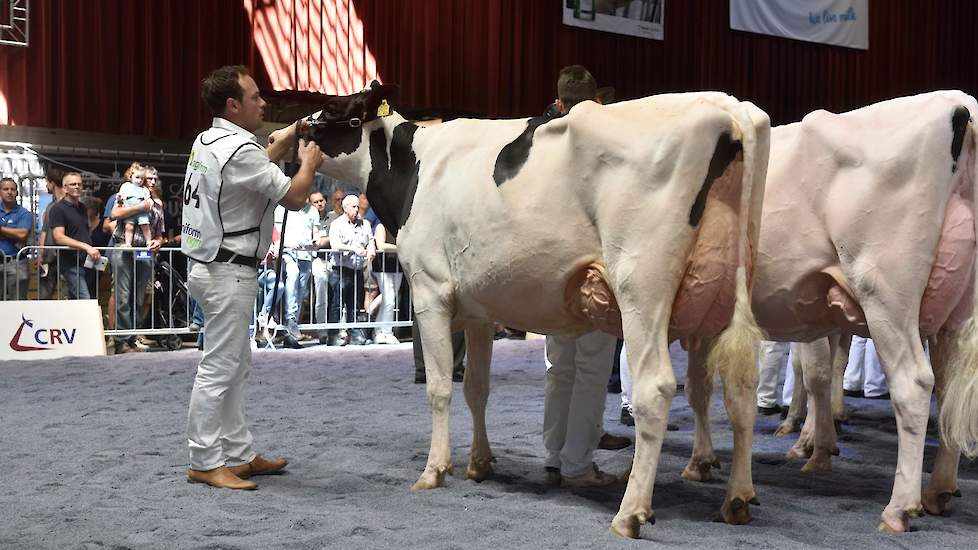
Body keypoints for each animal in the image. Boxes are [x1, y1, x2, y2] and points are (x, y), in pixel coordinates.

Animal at [268, 84, 772, 536]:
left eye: (331, 110)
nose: (278, 139)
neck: (413, 168)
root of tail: (726, 106)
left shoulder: (430, 292)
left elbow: (439, 388)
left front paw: (434, 470)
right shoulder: (478, 307)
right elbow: (476, 387)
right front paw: (479, 463)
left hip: (641, 285)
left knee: (657, 388)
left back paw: (630, 513)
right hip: (726, 288)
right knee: (740, 388)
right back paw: (737, 499)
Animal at [680, 90, 976, 536]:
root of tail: (957, 104)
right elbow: (701, 386)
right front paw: (704, 460)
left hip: (885, 293)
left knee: (914, 384)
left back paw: (899, 508)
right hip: (955, 310)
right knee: (950, 387)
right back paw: (939, 488)